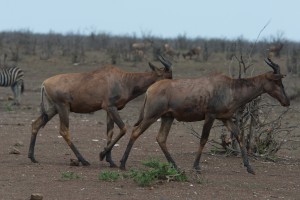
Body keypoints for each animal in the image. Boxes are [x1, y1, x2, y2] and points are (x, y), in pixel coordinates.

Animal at [29, 55, 172, 166]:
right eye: (167, 76)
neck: (122, 79)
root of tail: (44, 83)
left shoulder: (110, 110)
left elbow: (110, 132)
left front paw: (111, 161)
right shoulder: (110, 107)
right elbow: (123, 129)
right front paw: (102, 155)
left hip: (54, 108)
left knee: (36, 124)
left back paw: (32, 157)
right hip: (63, 107)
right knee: (64, 131)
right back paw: (83, 160)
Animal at [120, 57, 290, 173]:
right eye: (277, 82)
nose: (286, 102)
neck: (230, 87)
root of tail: (150, 89)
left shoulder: (225, 118)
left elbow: (240, 136)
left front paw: (249, 168)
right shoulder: (210, 116)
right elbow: (203, 139)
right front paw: (196, 166)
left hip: (167, 117)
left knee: (161, 138)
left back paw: (175, 166)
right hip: (151, 116)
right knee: (135, 132)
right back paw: (122, 164)